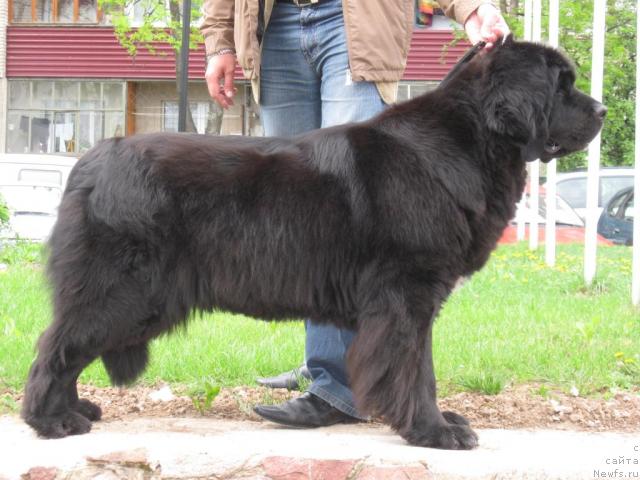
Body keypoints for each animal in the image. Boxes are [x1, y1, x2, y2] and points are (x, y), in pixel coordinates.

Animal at [22, 38, 604, 450]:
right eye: (562, 86)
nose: (601, 111)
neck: (468, 140)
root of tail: (90, 161)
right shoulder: (407, 293)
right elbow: (415, 369)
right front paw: (435, 431)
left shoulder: (411, 298)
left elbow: (418, 366)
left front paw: (437, 423)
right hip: (123, 292)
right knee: (57, 346)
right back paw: (52, 421)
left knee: (66, 344)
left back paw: (78, 410)